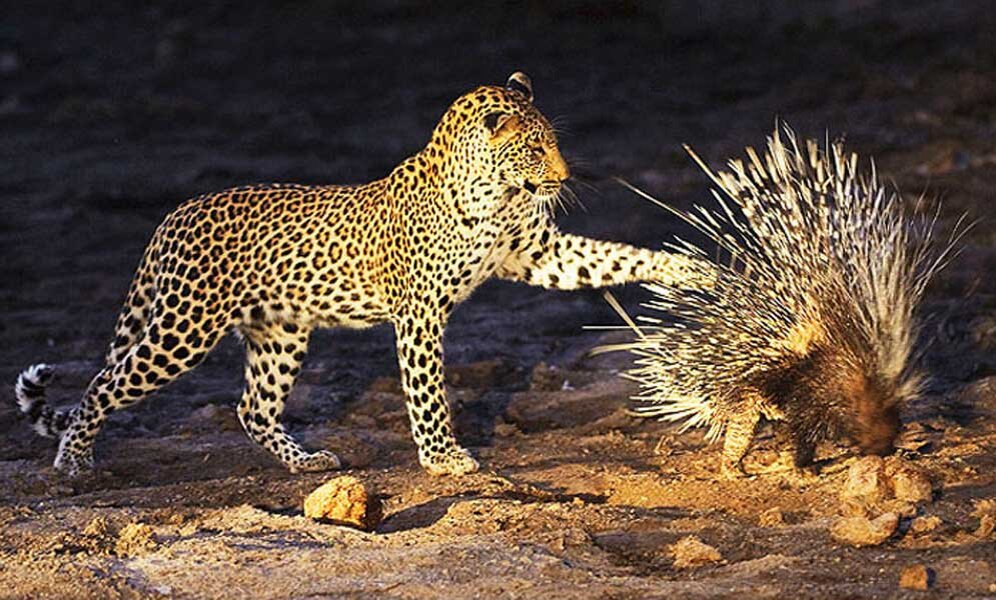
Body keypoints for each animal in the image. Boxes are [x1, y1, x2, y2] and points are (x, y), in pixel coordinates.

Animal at [15, 72, 716, 478]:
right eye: (536, 147)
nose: (565, 176)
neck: (492, 191)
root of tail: (172, 215)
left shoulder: (537, 253)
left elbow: (616, 257)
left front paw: (689, 271)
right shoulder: (421, 313)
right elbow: (427, 392)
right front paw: (443, 460)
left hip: (280, 334)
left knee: (251, 406)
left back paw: (308, 461)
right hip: (183, 330)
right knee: (103, 384)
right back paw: (73, 461)